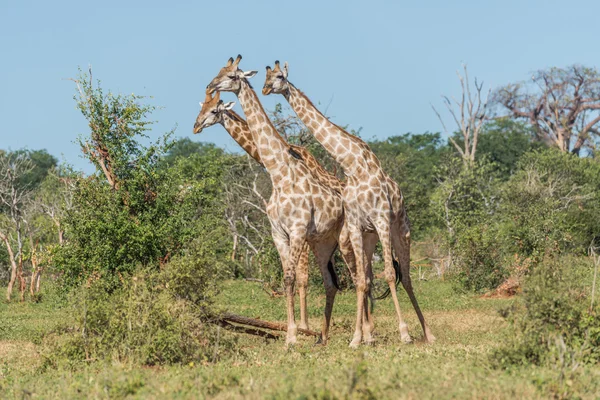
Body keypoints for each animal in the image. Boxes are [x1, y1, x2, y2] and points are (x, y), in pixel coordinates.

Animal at [205, 54, 352, 346]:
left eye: (231, 76)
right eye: (219, 71)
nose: (210, 84)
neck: (279, 173)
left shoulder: (297, 231)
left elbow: (294, 277)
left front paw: (295, 334)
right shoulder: (278, 233)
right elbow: (287, 279)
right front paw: (291, 334)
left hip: (348, 239)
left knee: (365, 274)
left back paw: (363, 336)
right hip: (323, 243)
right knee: (333, 283)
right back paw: (323, 337)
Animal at [262, 61, 436, 346]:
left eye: (278, 76)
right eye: (264, 76)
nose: (266, 89)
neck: (353, 165)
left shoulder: (381, 218)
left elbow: (390, 274)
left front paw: (403, 333)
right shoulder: (355, 224)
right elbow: (362, 281)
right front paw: (357, 339)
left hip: (400, 231)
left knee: (407, 276)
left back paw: (426, 333)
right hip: (368, 237)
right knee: (371, 276)